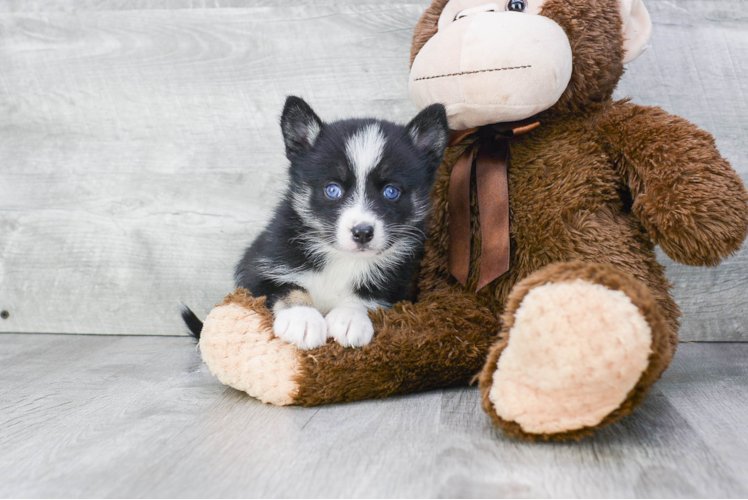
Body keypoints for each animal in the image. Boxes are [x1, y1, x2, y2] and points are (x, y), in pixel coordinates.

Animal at [183, 96, 448, 348]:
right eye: (332, 189)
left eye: (391, 192)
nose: (362, 233)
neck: (341, 258)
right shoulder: (257, 270)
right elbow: (287, 287)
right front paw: (302, 319)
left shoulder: (396, 287)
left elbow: (365, 298)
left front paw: (349, 318)